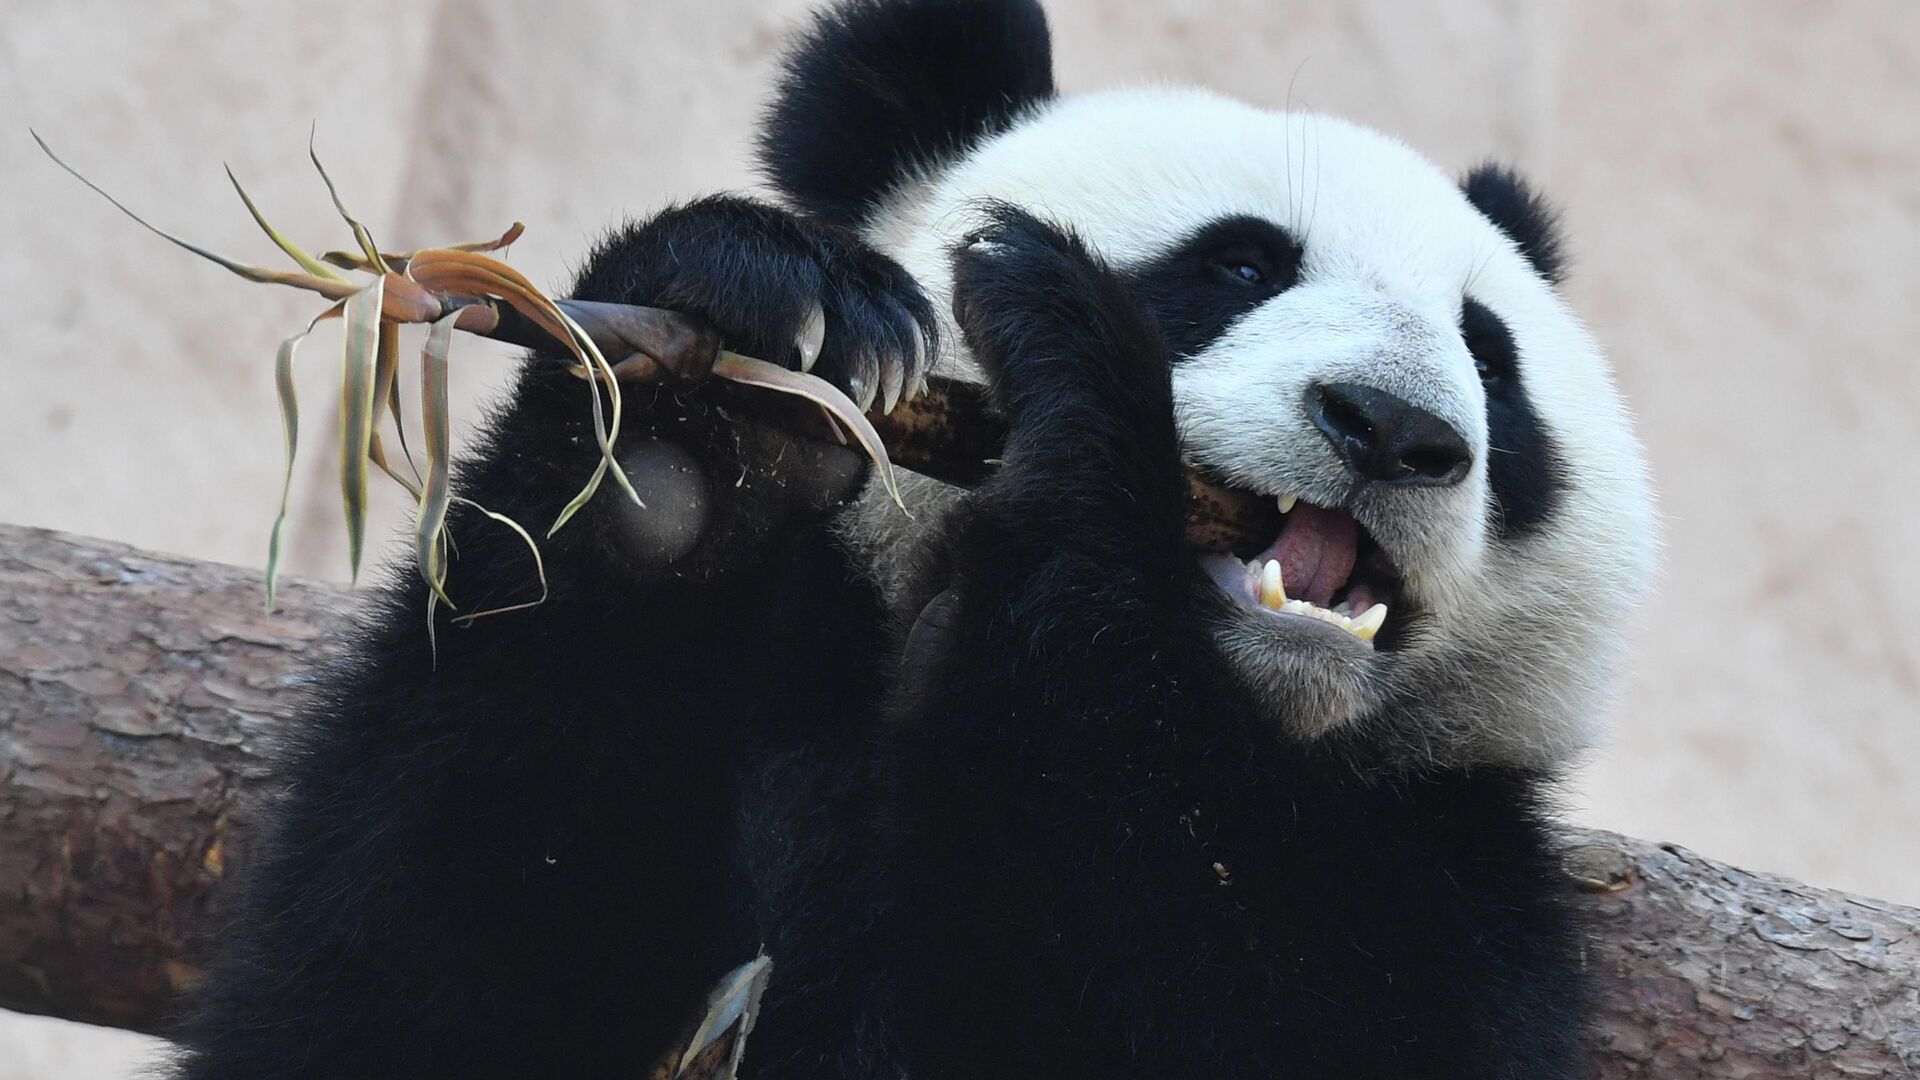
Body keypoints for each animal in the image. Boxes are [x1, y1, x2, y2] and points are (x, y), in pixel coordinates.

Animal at [172, 2, 1658, 1076]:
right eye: (1237, 264)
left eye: (1492, 361)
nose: (1396, 428)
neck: (1240, 723)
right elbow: (413, 969)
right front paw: (710, 406)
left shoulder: (1451, 881)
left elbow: (1279, 1022)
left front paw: (1077, 390)